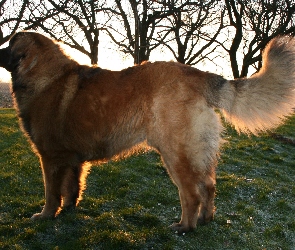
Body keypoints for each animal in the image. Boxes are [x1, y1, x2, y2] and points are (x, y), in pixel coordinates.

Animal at [0, 32, 295, 233]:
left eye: (10, 43)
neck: (44, 76)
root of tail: (199, 75)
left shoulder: (50, 158)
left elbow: (52, 192)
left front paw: (45, 216)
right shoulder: (72, 159)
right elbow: (72, 188)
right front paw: (68, 211)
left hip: (176, 153)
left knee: (191, 193)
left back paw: (184, 227)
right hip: (196, 153)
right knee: (208, 185)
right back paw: (204, 220)